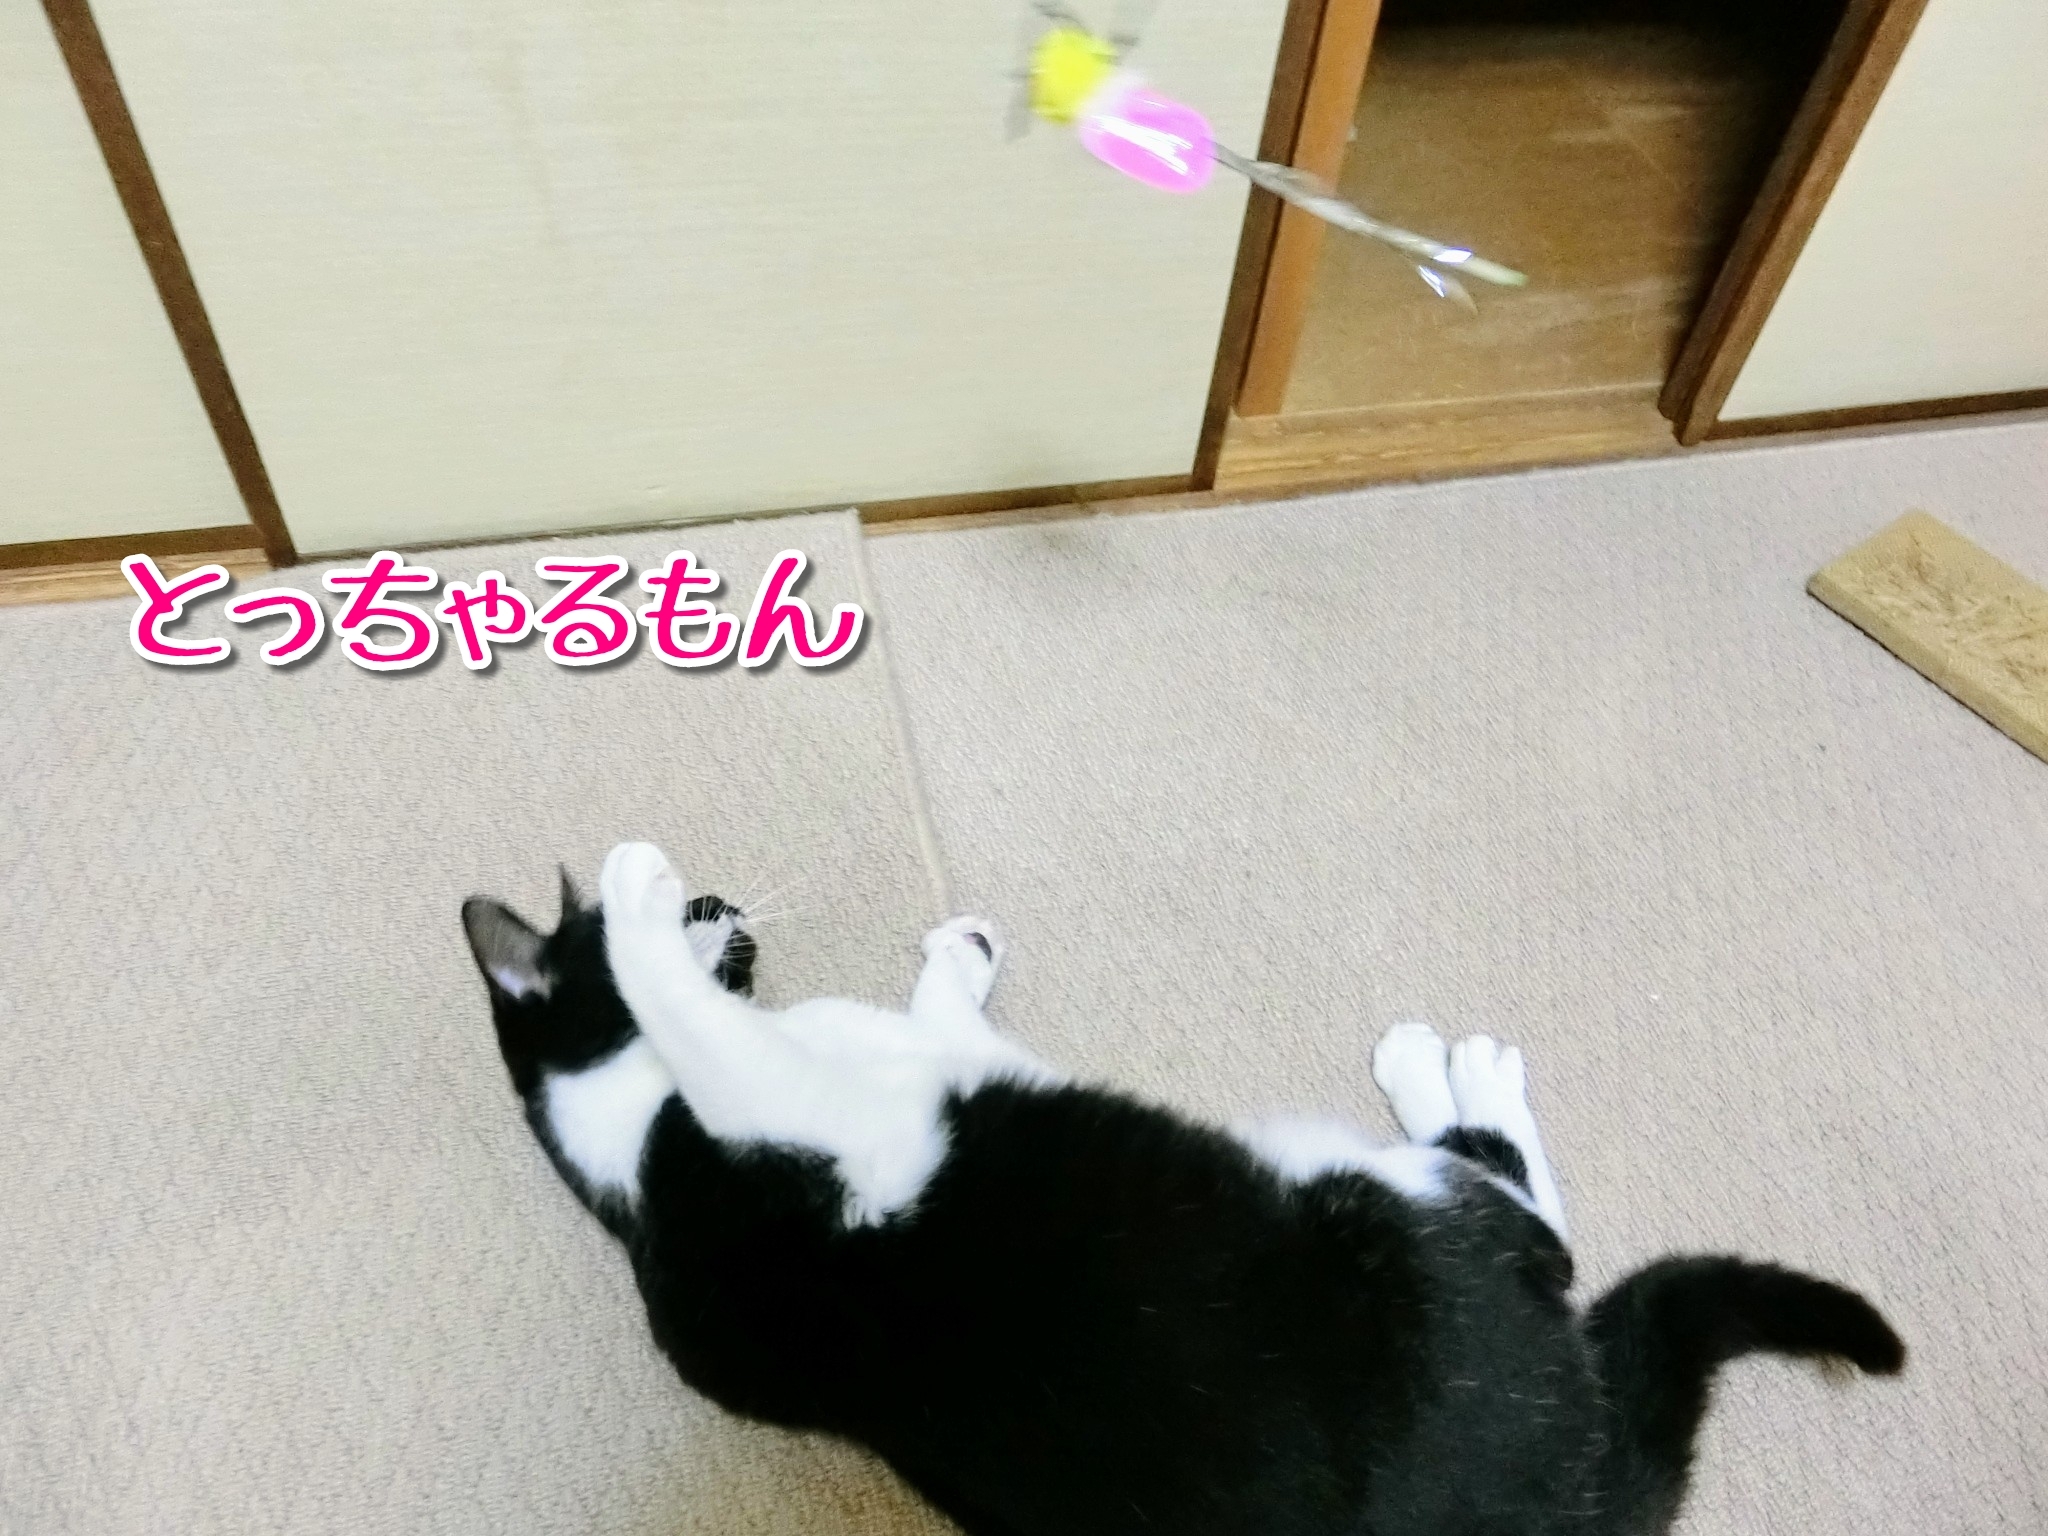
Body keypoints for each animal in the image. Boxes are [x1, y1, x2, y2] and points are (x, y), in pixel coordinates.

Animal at [461, 840, 1902, 1536]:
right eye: (698, 907)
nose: (715, 895)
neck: (624, 1135)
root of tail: (1567, 1496)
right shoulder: (793, 1110)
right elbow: (737, 1020)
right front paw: (641, 893)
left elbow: (943, 1015)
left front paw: (957, 950)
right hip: (1367, 1202)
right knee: (1526, 1217)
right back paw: (1454, 1069)